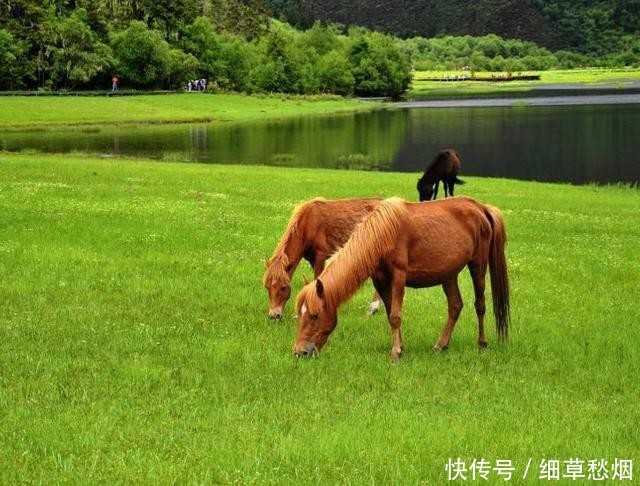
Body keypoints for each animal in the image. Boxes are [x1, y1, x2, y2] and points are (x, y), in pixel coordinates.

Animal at [292, 196, 508, 360]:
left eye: (314, 315)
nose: (299, 352)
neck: (382, 235)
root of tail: (481, 208)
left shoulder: (399, 276)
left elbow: (396, 315)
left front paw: (395, 353)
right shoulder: (380, 280)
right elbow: (390, 315)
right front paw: (400, 346)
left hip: (478, 266)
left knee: (480, 305)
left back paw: (482, 344)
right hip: (449, 274)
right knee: (455, 306)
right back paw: (440, 345)